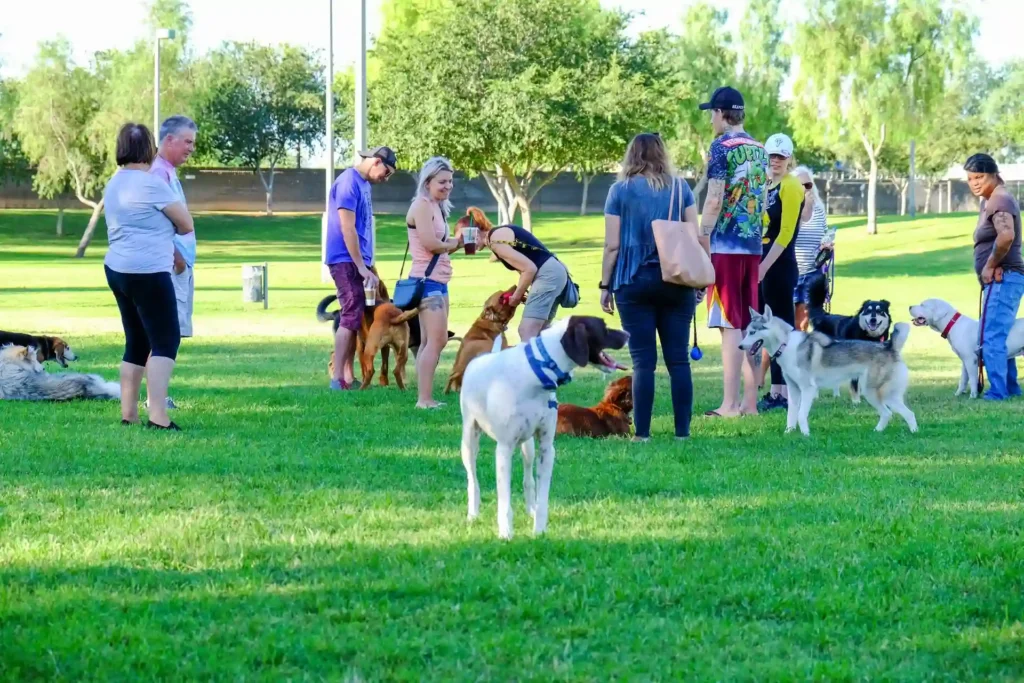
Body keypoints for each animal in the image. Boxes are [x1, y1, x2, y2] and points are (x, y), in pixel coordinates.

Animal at [741, 307, 917, 436]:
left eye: (752, 332)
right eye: (747, 331)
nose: (740, 346)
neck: (786, 345)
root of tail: (889, 347)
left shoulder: (808, 389)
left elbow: (801, 414)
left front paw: (806, 435)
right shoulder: (793, 389)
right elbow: (791, 414)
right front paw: (788, 433)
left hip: (879, 393)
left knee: (906, 414)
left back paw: (913, 433)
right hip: (873, 394)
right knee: (890, 413)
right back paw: (878, 432)